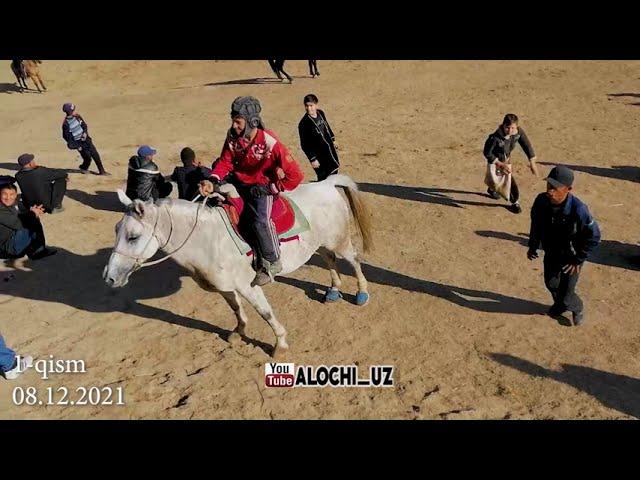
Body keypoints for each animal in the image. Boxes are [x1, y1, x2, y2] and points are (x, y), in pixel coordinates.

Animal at [102, 175, 372, 356]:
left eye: (133, 236)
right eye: (115, 230)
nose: (109, 277)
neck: (207, 238)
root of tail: (326, 183)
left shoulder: (248, 285)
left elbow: (265, 313)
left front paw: (281, 345)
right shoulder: (225, 286)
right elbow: (235, 309)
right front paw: (238, 332)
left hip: (339, 241)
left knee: (354, 260)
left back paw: (361, 294)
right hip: (321, 243)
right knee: (330, 260)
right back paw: (334, 290)